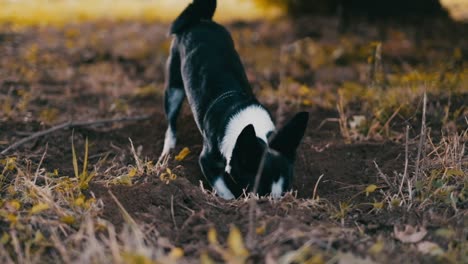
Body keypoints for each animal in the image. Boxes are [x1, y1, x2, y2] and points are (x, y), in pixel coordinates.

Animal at [159, 0, 308, 199]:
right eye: (259, 192)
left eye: (285, 192)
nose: (273, 204)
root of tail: (200, 19)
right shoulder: (207, 161)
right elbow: (223, 189)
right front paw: (232, 201)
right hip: (174, 88)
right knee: (171, 123)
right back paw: (168, 151)